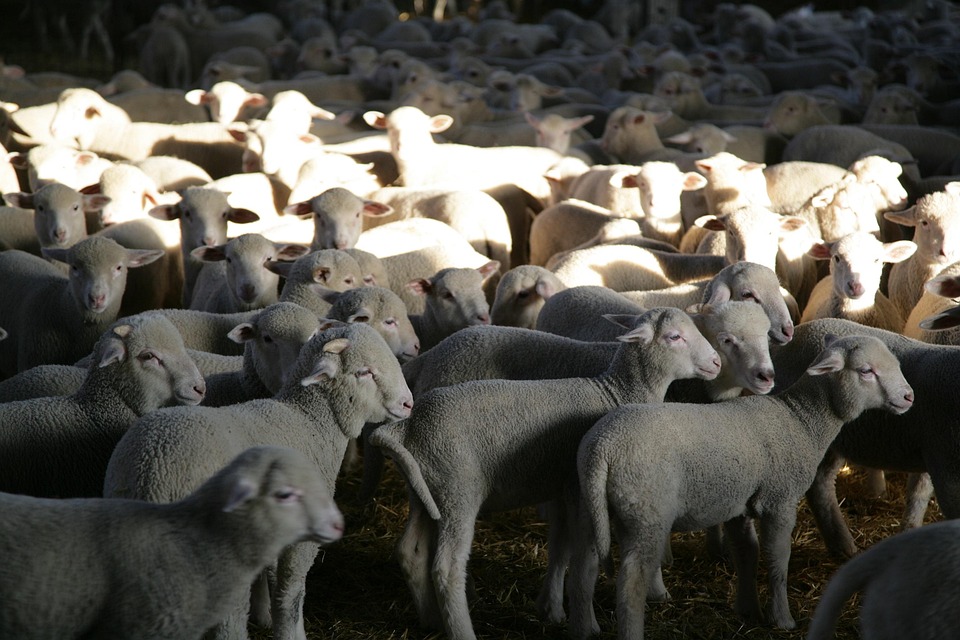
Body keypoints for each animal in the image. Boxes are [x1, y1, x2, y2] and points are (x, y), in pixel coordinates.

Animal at [103, 321, 413, 640]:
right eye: (364, 372)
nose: (408, 403)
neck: (311, 421)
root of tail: (149, 471)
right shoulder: (301, 536)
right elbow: (290, 596)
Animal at [369, 307, 721, 640]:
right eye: (675, 337)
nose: (717, 362)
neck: (616, 393)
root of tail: (408, 427)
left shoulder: (563, 488)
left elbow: (560, 547)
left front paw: (552, 608)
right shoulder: (582, 491)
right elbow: (585, 561)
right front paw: (587, 623)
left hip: (426, 491)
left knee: (410, 551)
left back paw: (430, 620)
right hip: (458, 490)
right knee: (446, 568)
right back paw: (462, 628)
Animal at [568, 334, 913, 639]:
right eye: (866, 371)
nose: (909, 397)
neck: (802, 420)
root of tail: (602, 448)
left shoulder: (739, 504)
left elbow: (747, 553)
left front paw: (748, 610)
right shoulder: (780, 500)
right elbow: (777, 559)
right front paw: (782, 619)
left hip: (592, 507)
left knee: (584, 566)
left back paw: (585, 628)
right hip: (647, 513)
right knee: (631, 584)